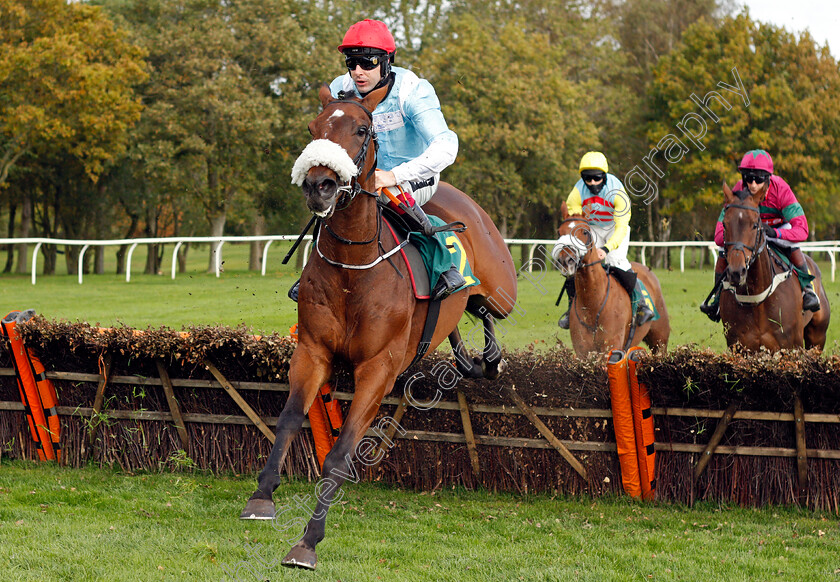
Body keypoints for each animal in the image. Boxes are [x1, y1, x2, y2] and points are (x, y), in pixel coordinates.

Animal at [240, 84, 520, 568]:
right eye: (313, 128)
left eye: (361, 129)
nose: (319, 184)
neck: (352, 268)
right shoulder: (312, 350)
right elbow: (289, 419)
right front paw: (262, 497)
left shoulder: (378, 367)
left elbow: (338, 455)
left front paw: (307, 541)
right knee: (461, 317)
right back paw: (472, 360)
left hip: (503, 289)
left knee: (486, 308)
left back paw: (490, 357)